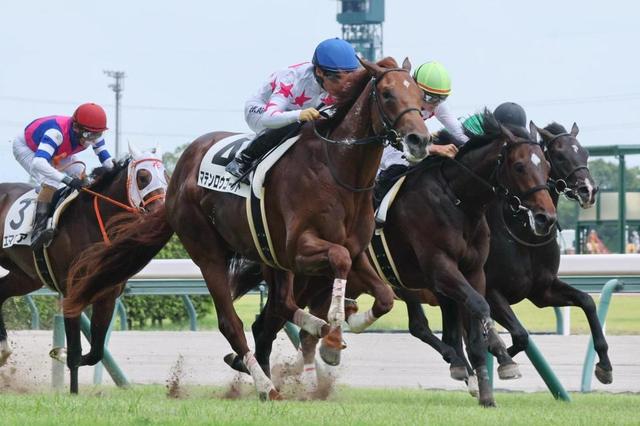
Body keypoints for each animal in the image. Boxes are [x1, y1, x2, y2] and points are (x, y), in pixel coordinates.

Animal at [0, 146, 169, 392]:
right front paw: (72, 392)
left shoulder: (107, 296)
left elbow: (96, 352)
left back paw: (3, 351)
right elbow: (75, 352)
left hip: (27, 277)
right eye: (143, 176)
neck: (93, 223)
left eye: (166, 175)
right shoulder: (72, 293)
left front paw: (59, 353)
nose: (161, 210)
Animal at [65, 56, 430, 400]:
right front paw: (334, 334)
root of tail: (175, 179)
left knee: (280, 304)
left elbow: (385, 297)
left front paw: (342, 325)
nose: (419, 139)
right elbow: (338, 259)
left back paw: (307, 333)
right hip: (210, 255)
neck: (336, 171)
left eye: (419, 94)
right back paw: (266, 385)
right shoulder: (301, 249)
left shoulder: (355, 251)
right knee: (233, 323)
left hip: (270, 256)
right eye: (387, 94)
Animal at [229, 113, 556, 406]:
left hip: (324, 286)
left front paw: (486, 388)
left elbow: (471, 325)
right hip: (305, 281)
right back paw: (265, 382)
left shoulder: (473, 272)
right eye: (519, 165)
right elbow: (479, 307)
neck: (458, 201)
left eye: (547, 165)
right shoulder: (441, 268)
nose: (546, 217)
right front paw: (495, 362)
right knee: (265, 326)